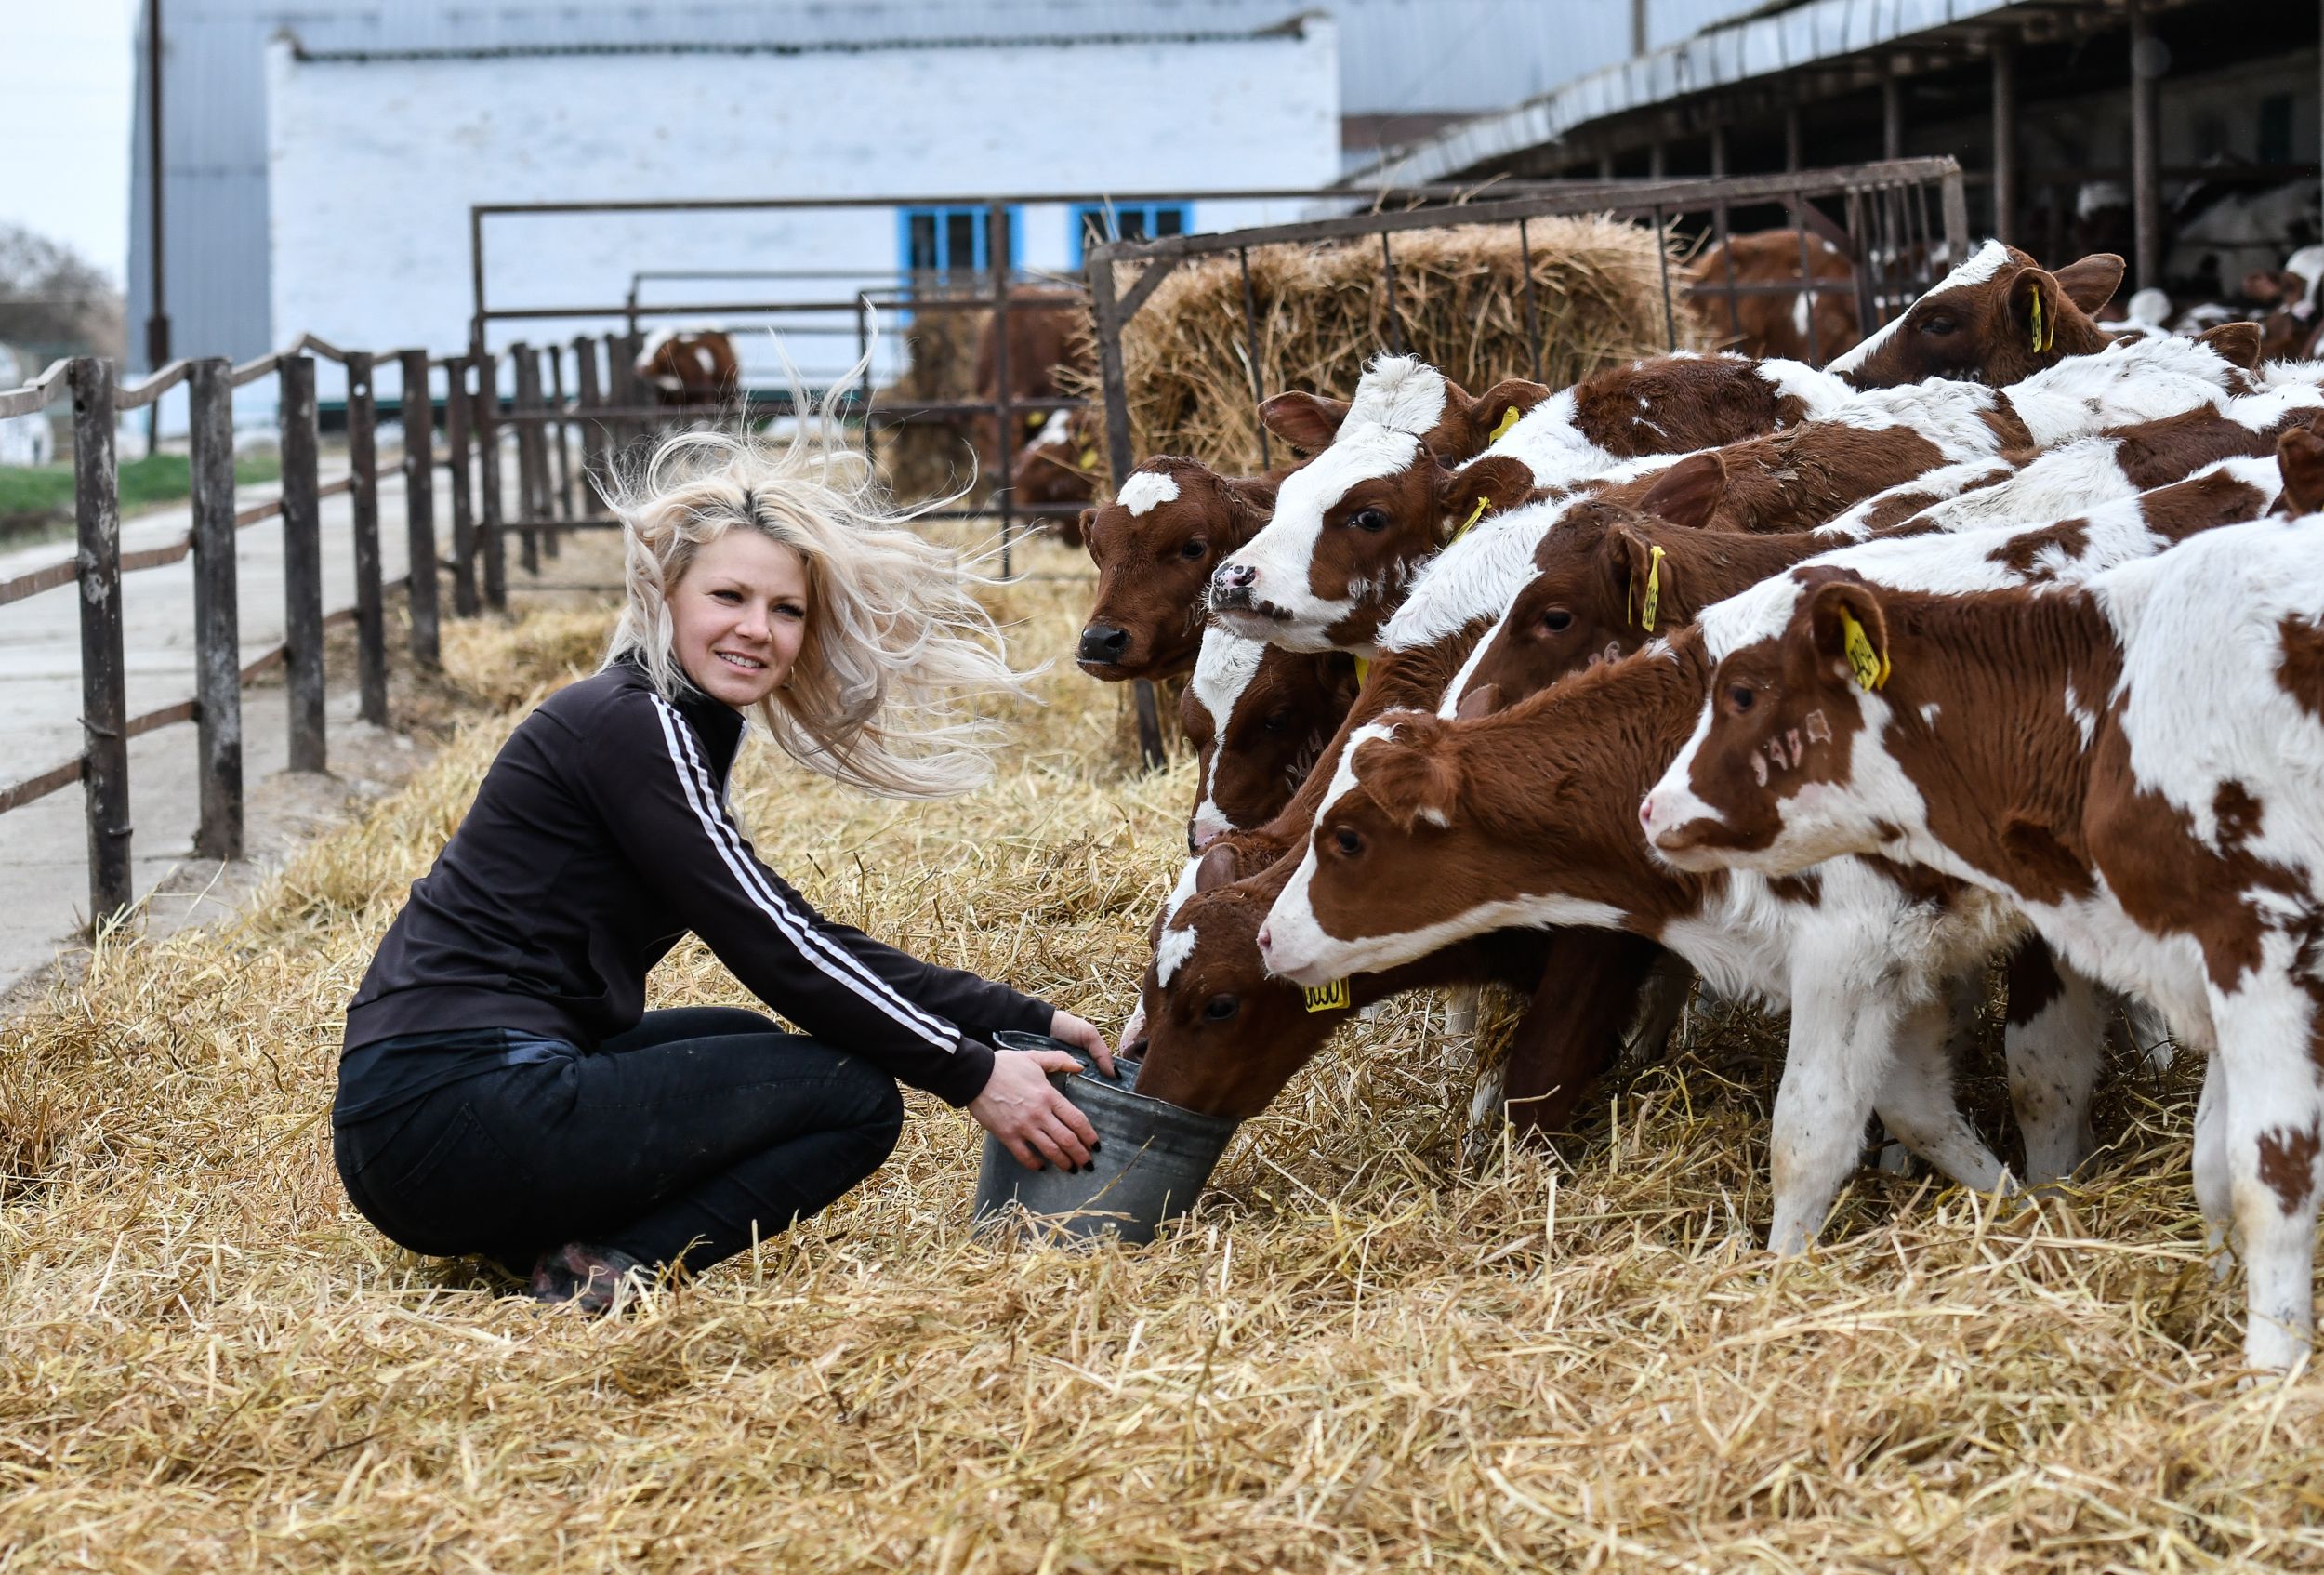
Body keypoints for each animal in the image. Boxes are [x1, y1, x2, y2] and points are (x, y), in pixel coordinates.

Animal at [1645, 518, 2324, 1366]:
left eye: (1742, 692)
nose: (1651, 809)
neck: (2115, 714)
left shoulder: (2266, 951)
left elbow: (2270, 1178)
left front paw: (2271, 1372)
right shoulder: (2207, 967)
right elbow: (2213, 1163)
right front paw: (2217, 1304)